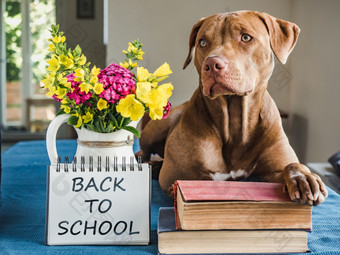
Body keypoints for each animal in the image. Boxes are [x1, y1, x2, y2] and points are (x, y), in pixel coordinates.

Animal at [139, 10, 328, 205]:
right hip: (156, 129)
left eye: (245, 37)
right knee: (143, 153)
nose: (212, 64)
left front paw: (303, 177)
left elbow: (291, 165)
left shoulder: (274, 168)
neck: (234, 121)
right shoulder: (177, 175)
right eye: (202, 42)